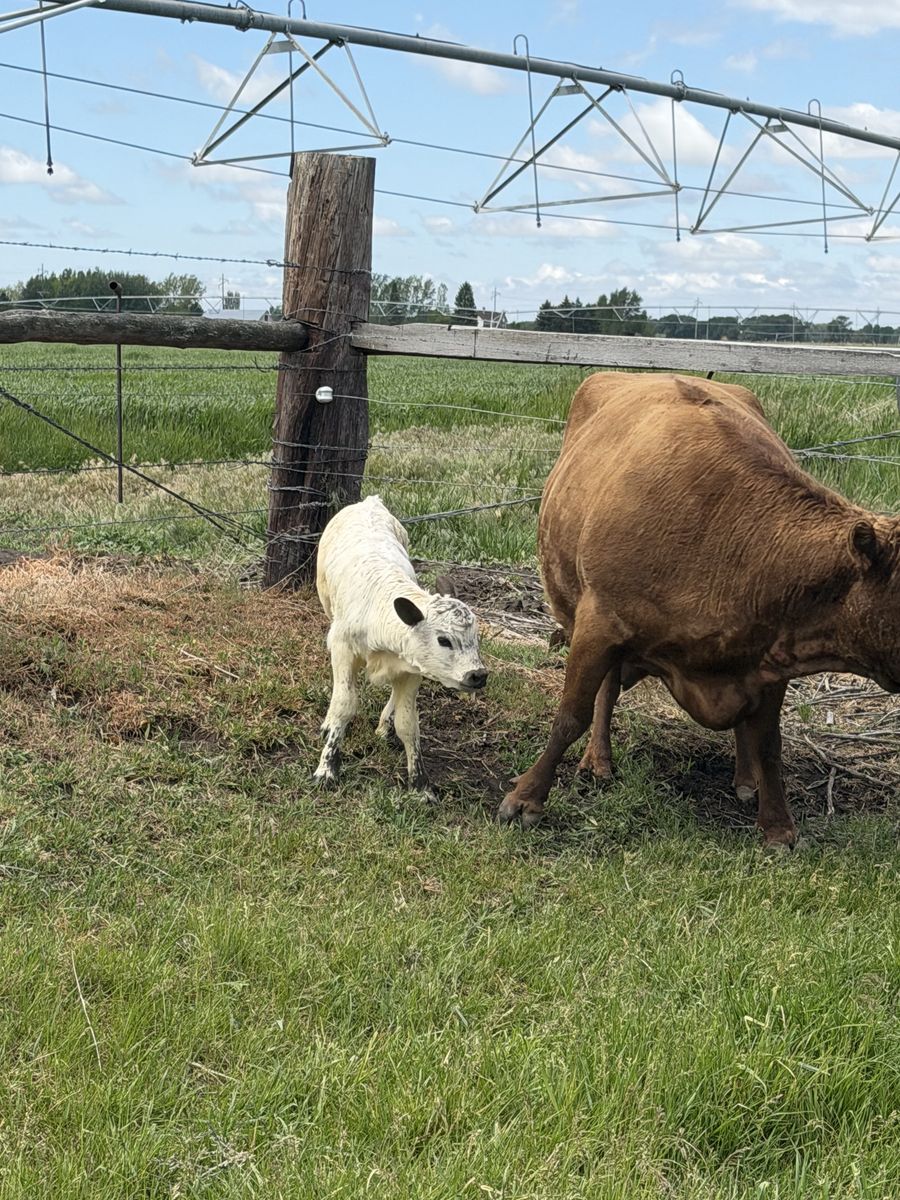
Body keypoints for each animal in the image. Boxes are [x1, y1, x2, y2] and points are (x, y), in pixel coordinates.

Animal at [314, 495, 488, 794]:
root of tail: (370, 501)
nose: (477, 675)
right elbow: (343, 704)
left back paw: (385, 727)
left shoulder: (413, 667)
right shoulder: (342, 648)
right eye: (444, 640)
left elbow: (408, 723)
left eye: (475, 637)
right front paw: (327, 768)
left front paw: (420, 784)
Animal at [498, 372, 900, 847]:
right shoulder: (600, 623)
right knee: (607, 693)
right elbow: (571, 714)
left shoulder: (772, 657)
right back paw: (598, 761)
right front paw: (526, 798)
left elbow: (768, 743)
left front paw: (778, 826)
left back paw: (745, 779)